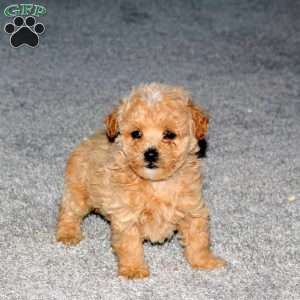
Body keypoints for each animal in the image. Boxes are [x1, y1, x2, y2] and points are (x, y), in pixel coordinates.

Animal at [55, 82, 225, 278]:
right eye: (136, 133)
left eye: (169, 134)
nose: (150, 153)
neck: (156, 184)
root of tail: (87, 139)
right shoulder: (127, 217)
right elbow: (130, 246)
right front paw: (134, 270)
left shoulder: (193, 210)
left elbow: (199, 239)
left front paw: (205, 261)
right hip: (78, 191)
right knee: (68, 211)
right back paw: (68, 234)